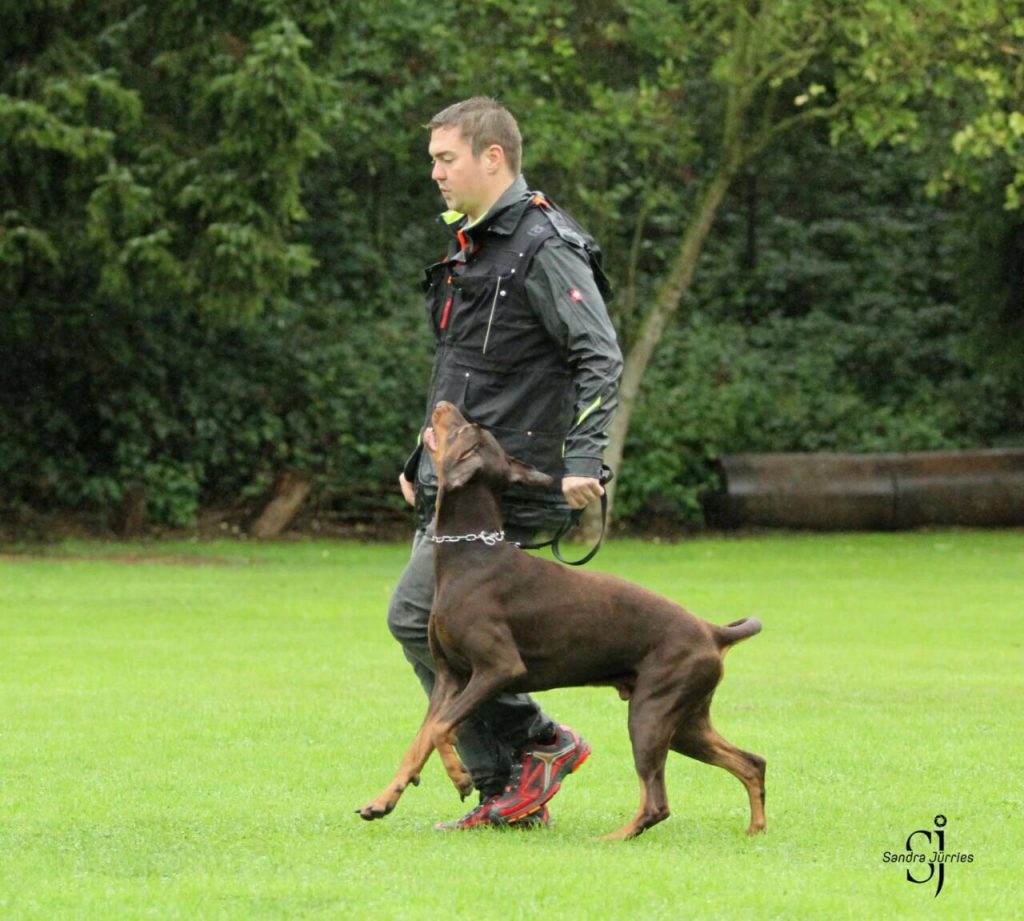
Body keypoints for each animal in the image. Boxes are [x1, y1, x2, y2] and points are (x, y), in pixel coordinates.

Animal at [358, 401, 766, 839]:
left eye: (467, 429)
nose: (444, 404)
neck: (470, 557)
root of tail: (712, 631)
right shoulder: (451, 676)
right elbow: (424, 736)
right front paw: (383, 800)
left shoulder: (498, 668)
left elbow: (438, 729)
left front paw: (459, 777)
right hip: (686, 722)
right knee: (751, 762)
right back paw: (755, 829)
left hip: (651, 713)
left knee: (657, 802)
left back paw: (612, 838)